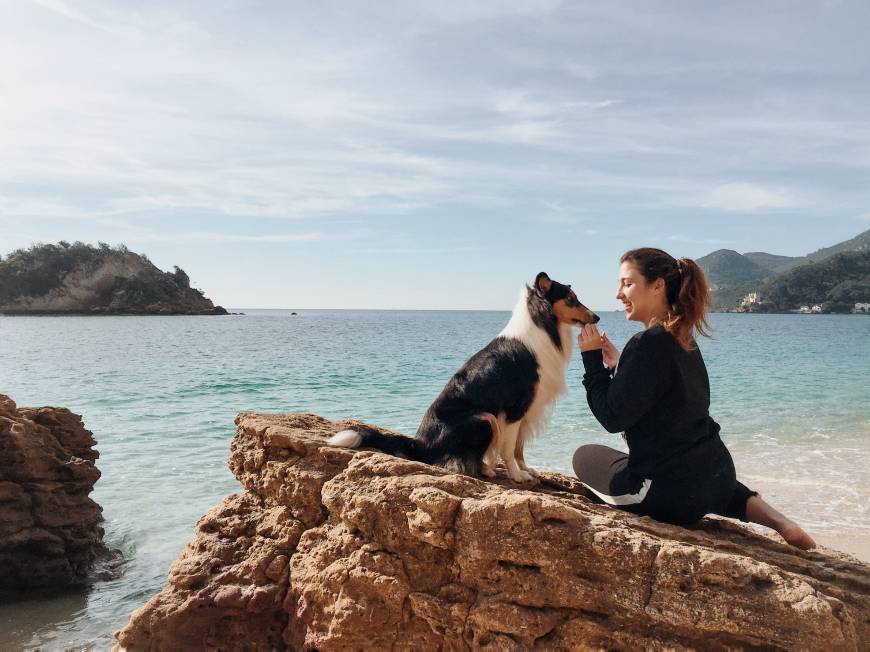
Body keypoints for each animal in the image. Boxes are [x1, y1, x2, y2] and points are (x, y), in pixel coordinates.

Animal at [328, 272, 600, 482]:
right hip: (484, 418)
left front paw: (526, 469)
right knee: (454, 461)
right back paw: (485, 470)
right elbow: (509, 449)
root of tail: (420, 444)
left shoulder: (526, 411)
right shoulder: (514, 409)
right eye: (571, 299)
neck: (542, 326)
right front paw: (517, 475)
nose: (597, 317)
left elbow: (519, 448)